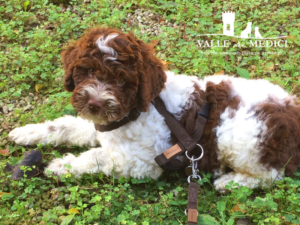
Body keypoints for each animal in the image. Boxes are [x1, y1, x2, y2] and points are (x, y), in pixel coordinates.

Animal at [8, 27, 300, 191]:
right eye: (89, 71)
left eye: (122, 81)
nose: (95, 103)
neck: (136, 110)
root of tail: (292, 112)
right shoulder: (103, 126)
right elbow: (65, 125)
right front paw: (26, 133)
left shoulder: (141, 162)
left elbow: (95, 157)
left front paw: (59, 166)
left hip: (242, 142)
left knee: (271, 175)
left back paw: (231, 182)